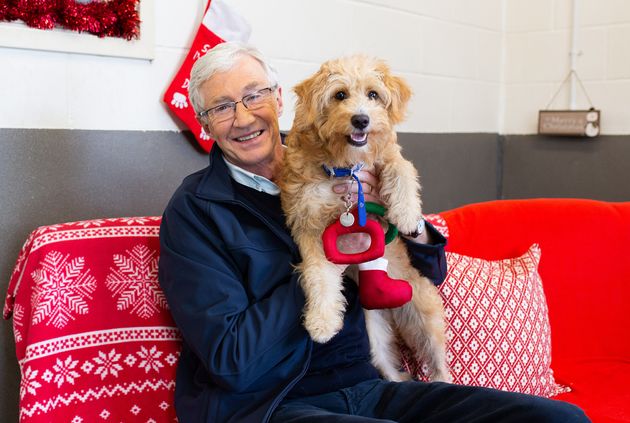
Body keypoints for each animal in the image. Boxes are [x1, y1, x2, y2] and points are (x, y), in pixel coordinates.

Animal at [282, 54, 454, 382]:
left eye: (373, 94)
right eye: (339, 95)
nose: (361, 119)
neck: (345, 165)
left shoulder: (388, 156)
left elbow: (401, 170)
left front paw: (407, 214)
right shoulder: (309, 223)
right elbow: (319, 274)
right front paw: (322, 321)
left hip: (423, 317)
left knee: (439, 363)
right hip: (375, 333)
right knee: (387, 364)